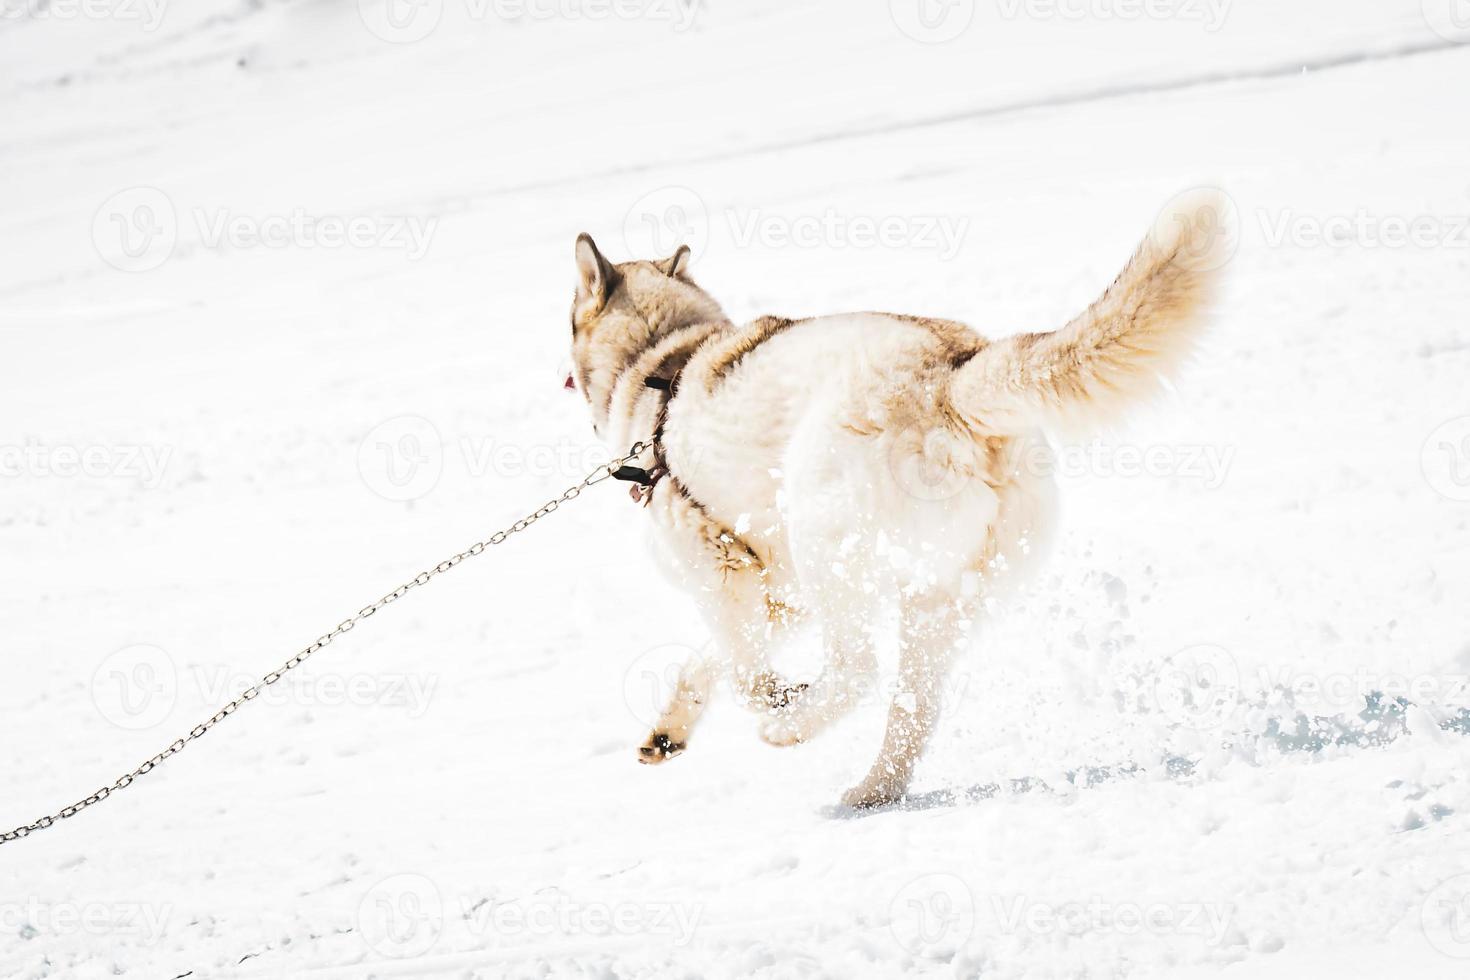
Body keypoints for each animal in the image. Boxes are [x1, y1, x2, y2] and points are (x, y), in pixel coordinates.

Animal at [567, 195, 1223, 811]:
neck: (662, 363)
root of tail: (950, 377)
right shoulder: (781, 596)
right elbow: (708, 663)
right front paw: (670, 731)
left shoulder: (722, 572)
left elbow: (745, 672)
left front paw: (780, 701)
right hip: (937, 601)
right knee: (913, 711)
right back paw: (872, 790)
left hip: (825, 543)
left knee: (859, 672)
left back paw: (791, 729)